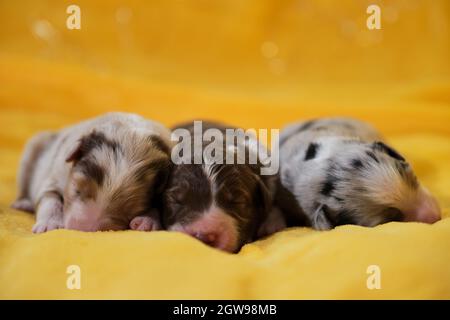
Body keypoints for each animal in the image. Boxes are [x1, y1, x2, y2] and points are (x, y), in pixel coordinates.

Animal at [11, 112, 172, 232]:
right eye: (76, 189)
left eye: (131, 213)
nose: (82, 229)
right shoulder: (55, 173)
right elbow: (50, 198)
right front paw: (49, 225)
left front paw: (147, 222)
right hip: (33, 148)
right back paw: (23, 203)